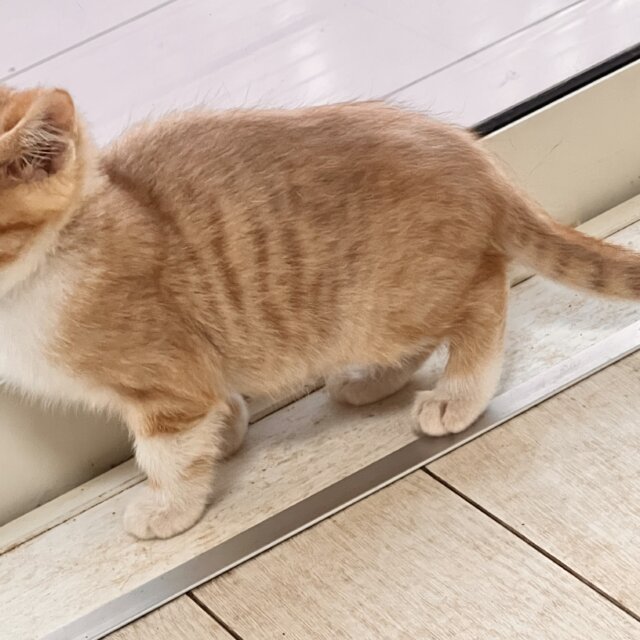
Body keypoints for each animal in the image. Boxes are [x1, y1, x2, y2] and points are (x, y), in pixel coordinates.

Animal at [1, 86, 639, 539]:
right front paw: (227, 433)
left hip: (389, 300)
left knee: (485, 294)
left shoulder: (166, 380)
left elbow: (168, 451)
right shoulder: (198, 368)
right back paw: (371, 382)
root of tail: (476, 158)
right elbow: (216, 404)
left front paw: (168, 509)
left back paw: (458, 396)